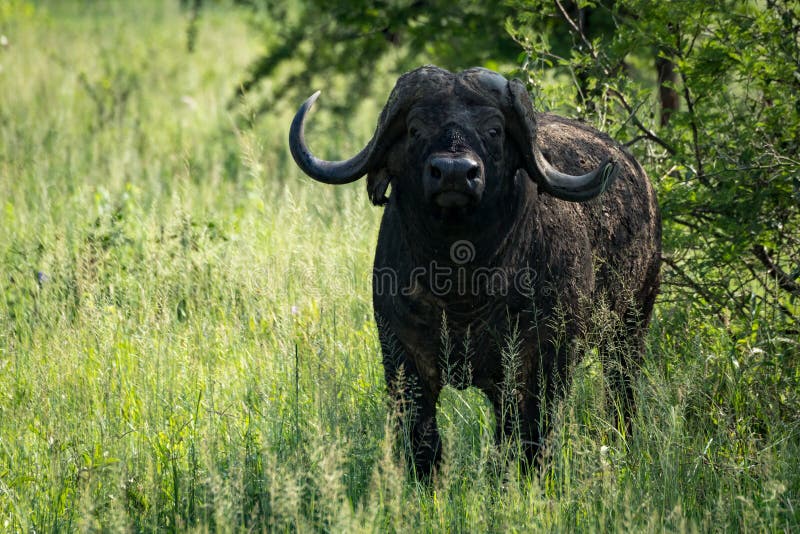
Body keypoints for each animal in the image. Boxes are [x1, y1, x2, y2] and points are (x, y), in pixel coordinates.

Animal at [290, 65, 660, 480]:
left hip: (630, 327)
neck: (462, 287)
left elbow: (528, 437)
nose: (454, 172)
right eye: (416, 129)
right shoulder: (401, 356)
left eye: (494, 130)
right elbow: (423, 440)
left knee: (620, 394)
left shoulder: (542, 361)